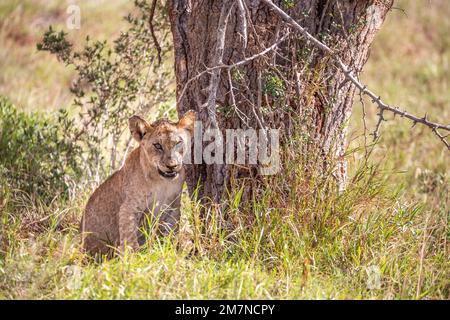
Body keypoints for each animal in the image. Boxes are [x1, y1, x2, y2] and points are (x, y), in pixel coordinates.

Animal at [80, 111, 195, 256]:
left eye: (178, 143)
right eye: (157, 145)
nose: (171, 166)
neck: (162, 182)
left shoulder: (172, 208)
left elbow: (171, 233)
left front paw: (171, 251)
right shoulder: (128, 208)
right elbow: (129, 238)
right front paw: (133, 258)